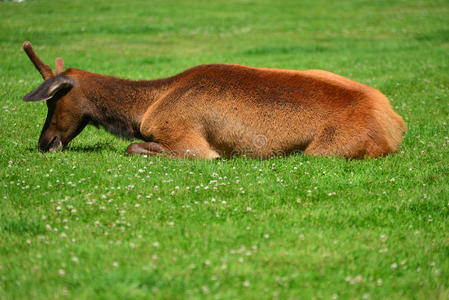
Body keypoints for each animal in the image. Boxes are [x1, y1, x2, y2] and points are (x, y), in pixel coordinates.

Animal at [21, 41, 406, 161]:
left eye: (52, 101)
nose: (44, 142)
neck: (141, 111)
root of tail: (396, 123)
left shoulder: (193, 145)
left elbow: (132, 147)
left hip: (324, 150)